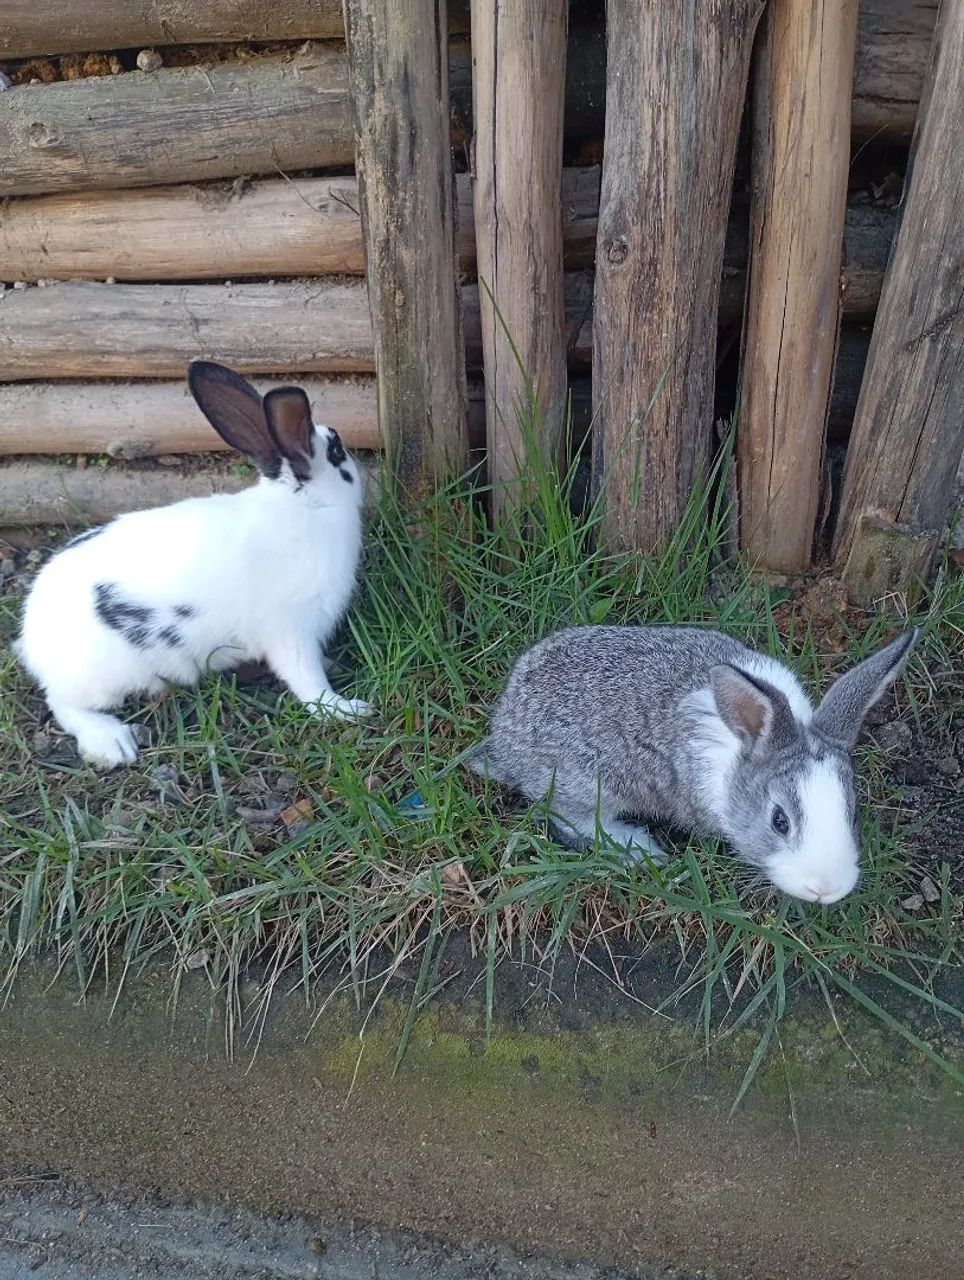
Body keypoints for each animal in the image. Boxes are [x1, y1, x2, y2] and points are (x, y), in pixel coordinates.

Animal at [16, 361, 370, 769]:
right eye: (338, 451)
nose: (356, 463)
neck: (306, 507)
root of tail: (31, 640)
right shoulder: (290, 632)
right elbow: (308, 681)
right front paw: (347, 709)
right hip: (102, 679)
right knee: (64, 705)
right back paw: (111, 741)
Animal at [470, 624, 919, 904]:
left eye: (854, 814)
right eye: (780, 822)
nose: (826, 888)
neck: (742, 750)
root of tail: (504, 734)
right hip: (587, 784)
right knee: (572, 822)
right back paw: (642, 850)